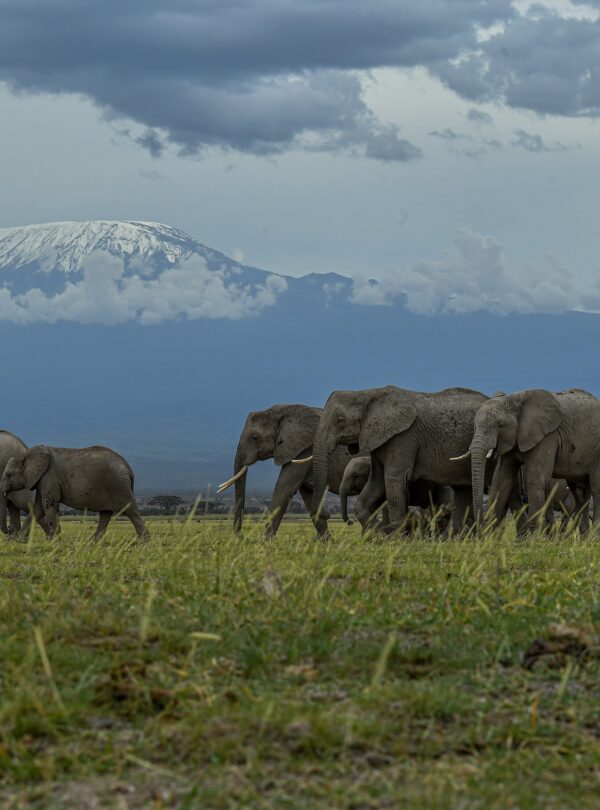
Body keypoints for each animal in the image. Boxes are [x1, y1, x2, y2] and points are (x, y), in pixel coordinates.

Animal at [0, 445, 149, 541]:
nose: (9, 531)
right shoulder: (41, 480)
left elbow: (49, 506)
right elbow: (37, 509)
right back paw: (93, 541)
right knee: (105, 513)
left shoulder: (49, 477)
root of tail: (129, 469)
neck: (26, 454)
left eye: (8, 475)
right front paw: (18, 540)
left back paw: (143, 542)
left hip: (118, 485)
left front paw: (54, 540)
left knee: (131, 510)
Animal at [218, 403, 363, 537]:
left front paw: (264, 543)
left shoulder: (304, 449)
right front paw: (326, 543)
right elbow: (307, 496)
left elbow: (284, 488)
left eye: (255, 437)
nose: (241, 536)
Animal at [310, 386, 491, 533]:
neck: (367, 394)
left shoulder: (403, 437)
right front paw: (377, 532)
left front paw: (396, 539)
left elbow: (393, 481)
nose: (328, 514)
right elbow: (376, 483)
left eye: (339, 420)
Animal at [469, 389, 600, 527]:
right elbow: (500, 480)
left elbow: (535, 479)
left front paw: (533, 532)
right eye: (474, 425)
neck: (514, 399)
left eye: (500, 425)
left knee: (596, 486)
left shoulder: (547, 436)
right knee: (580, 492)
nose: (480, 522)